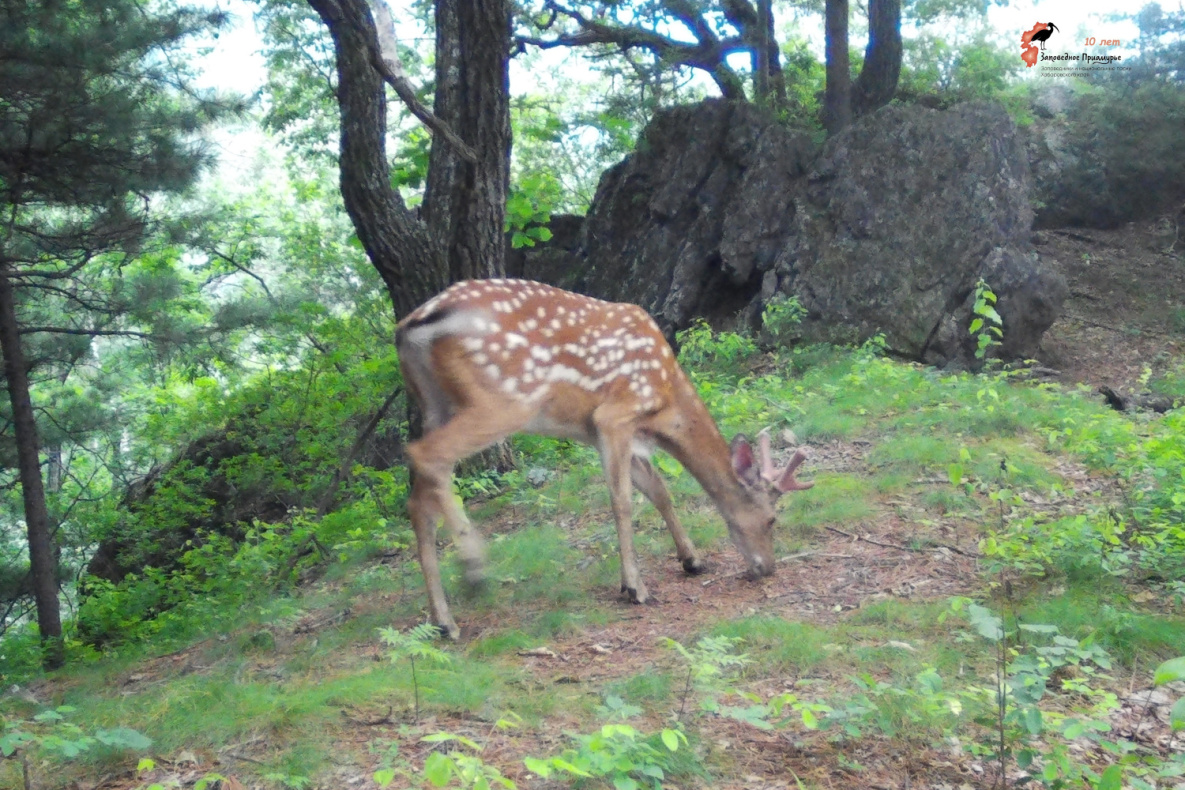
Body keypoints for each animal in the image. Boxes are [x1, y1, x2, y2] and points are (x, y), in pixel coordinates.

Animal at [393, 278, 810, 634]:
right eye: (771, 519)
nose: (768, 568)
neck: (665, 405)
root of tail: (410, 325)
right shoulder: (615, 415)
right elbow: (622, 500)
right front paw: (634, 587)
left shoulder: (603, 433)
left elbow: (659, 490)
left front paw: (691, 559)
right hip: (503, 399)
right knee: (426, 456)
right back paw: (474, 569)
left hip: (433, 404)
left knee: (418, 498)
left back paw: (444, 621)